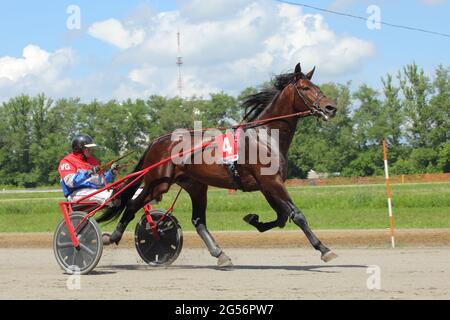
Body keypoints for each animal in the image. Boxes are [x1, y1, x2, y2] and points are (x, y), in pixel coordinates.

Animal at [98, 62, 338, 264]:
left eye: (316, 86)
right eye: (305, 88)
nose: (331, 107)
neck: (265, 136)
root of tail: (157, 141)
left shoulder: (268, 185)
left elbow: (281, 217)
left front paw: (253, 219)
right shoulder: (271, 182)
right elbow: (297, 215)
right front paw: (324, 249)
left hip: (195, 185)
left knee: (198, 221)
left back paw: (220, 254)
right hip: (158, 183)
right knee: (132, 205)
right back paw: (113, 237)